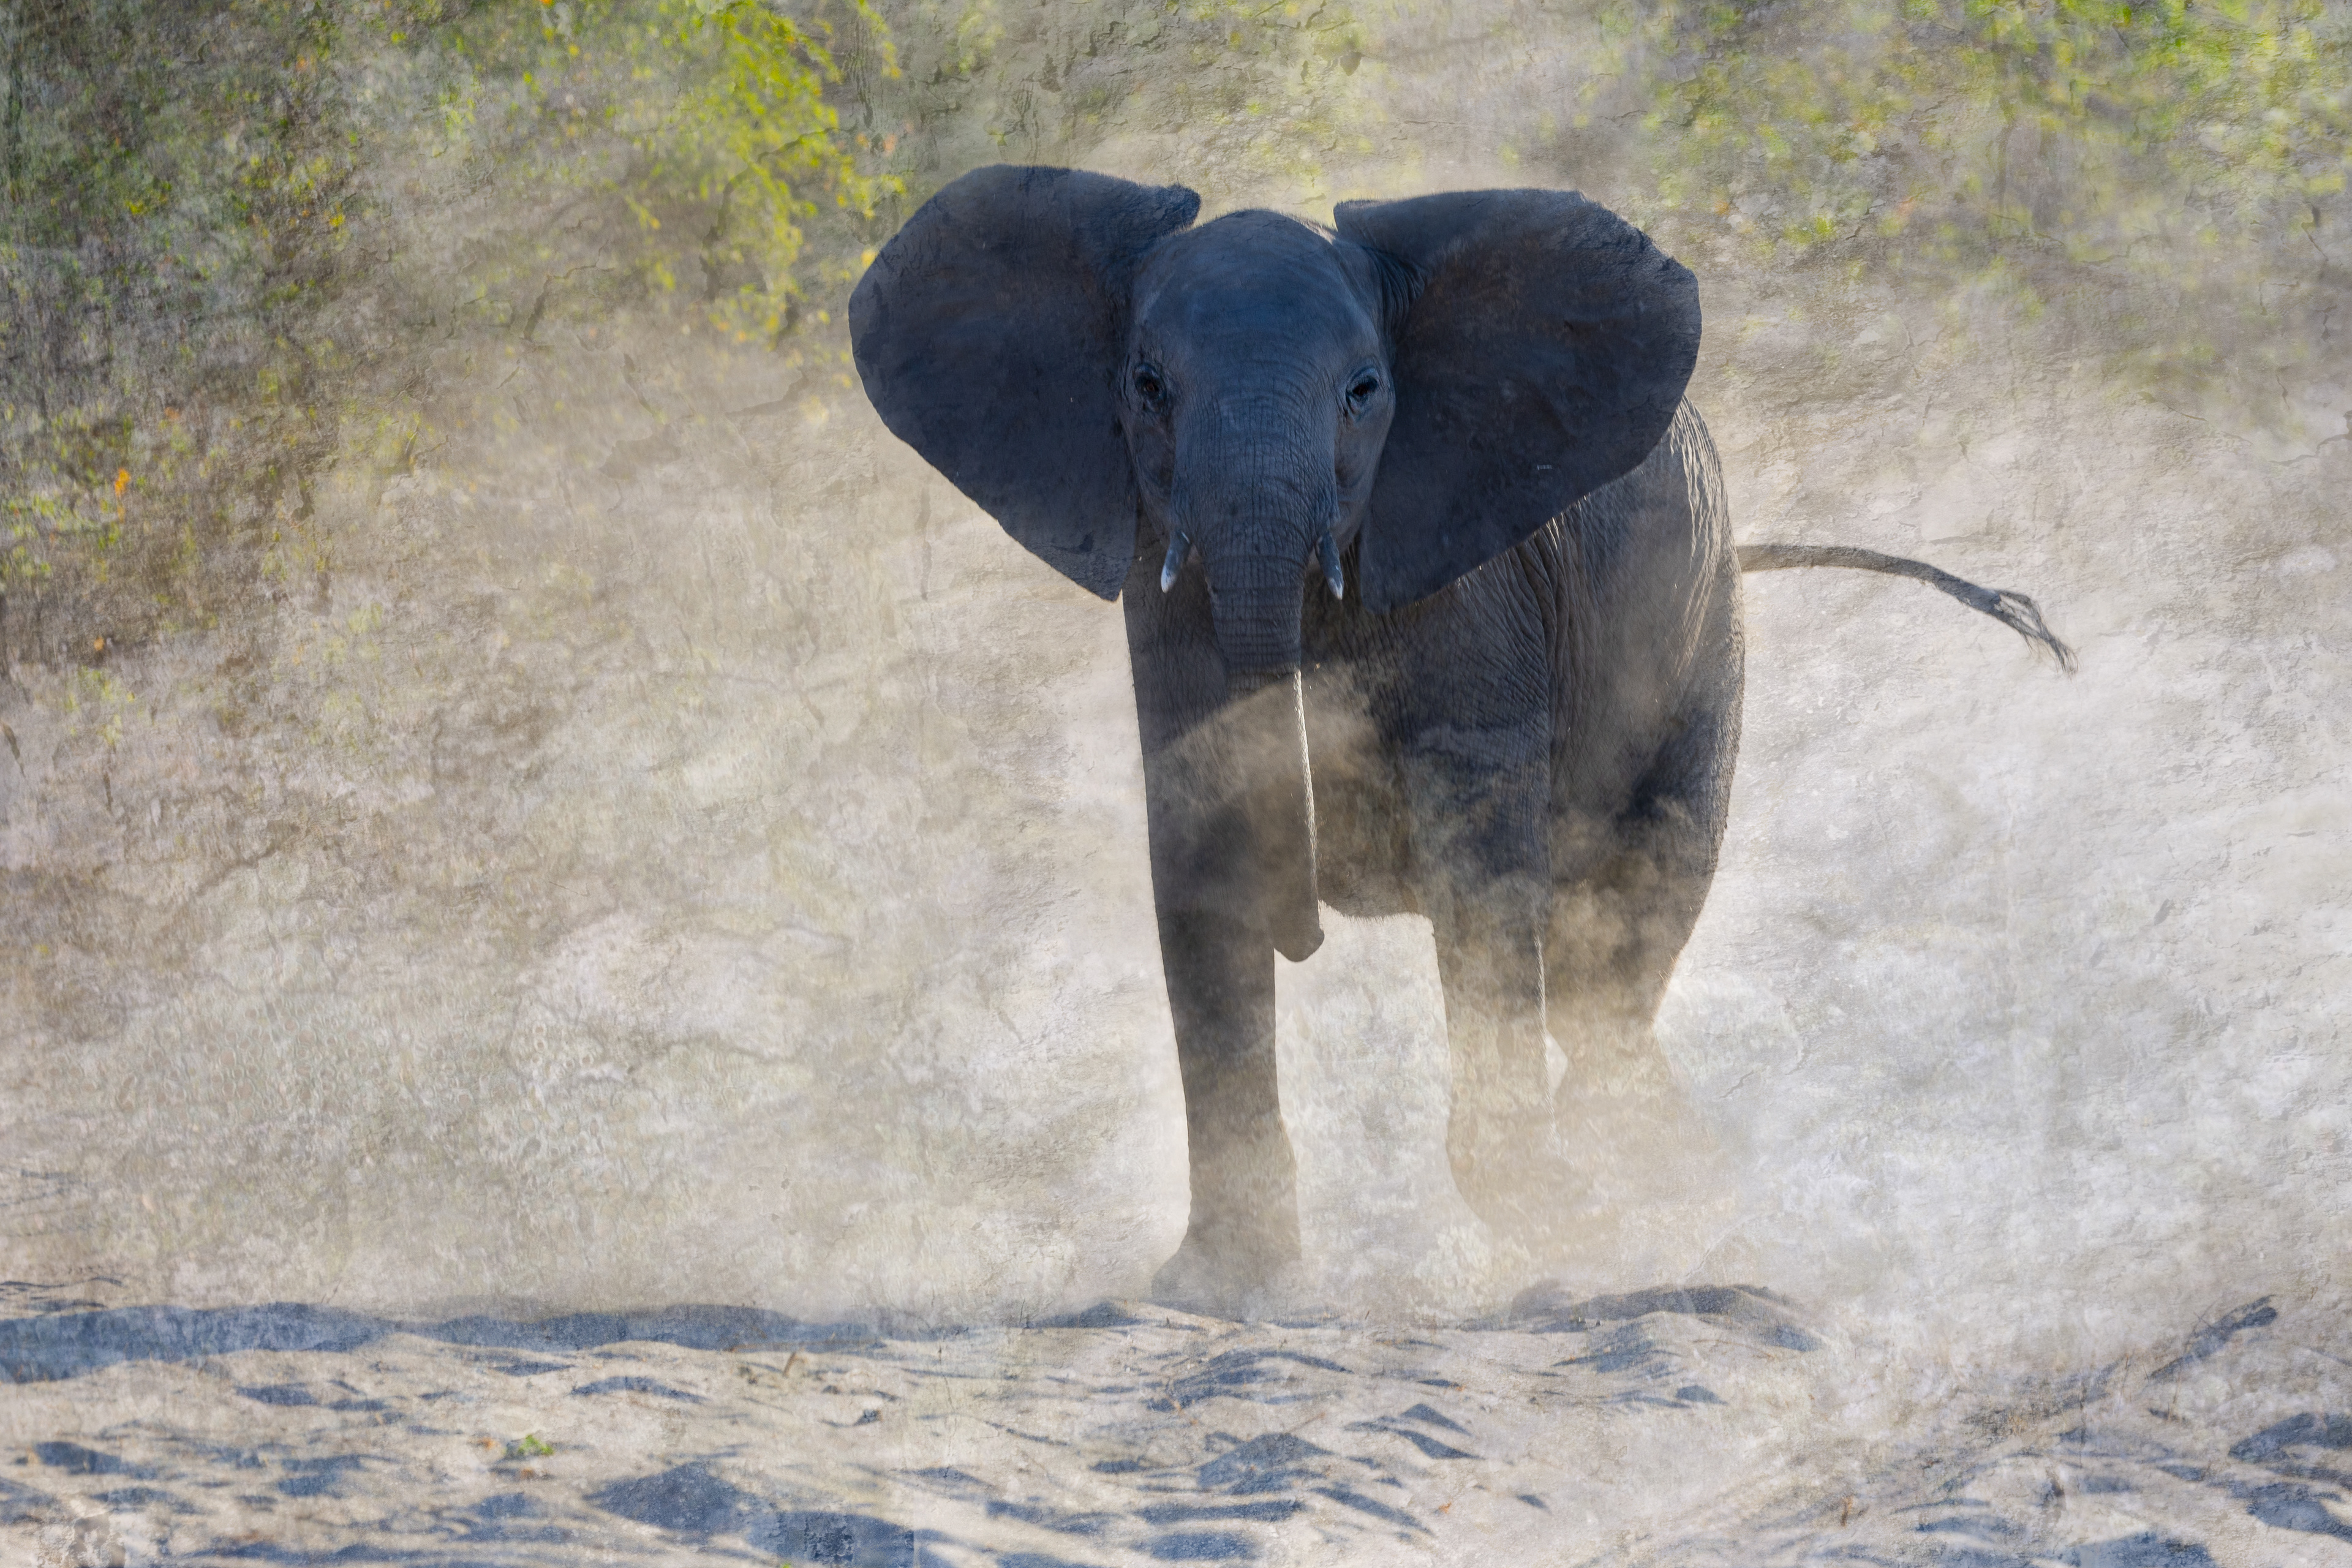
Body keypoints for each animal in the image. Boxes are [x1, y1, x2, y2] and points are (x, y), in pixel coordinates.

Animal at [849, 165, 2071, 1307]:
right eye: (1146, 388)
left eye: (1365, 393)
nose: (1308, 925)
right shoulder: (1166, 571)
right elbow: (1203, 835)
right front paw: (1219, 1292)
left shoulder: (1468, 569)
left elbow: (1480, 852)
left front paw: (1564, 1223)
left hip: (1702, 646)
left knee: (1603, 953)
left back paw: (1667, 1205)